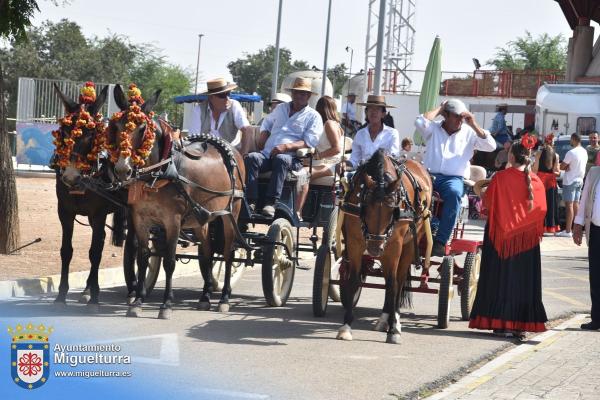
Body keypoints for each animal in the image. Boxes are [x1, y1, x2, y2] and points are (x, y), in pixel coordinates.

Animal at [51, 83, 134, 310]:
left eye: (92, 135)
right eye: (64, 131)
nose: (71, 176)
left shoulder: (98, 214)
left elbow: (95, 252)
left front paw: (95, 298)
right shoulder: (65, 212)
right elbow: (66, 250)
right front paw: (61, 295)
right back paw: (87, 290)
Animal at [108, 84, 246, 318]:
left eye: (142, 128)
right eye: (116, 126)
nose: (122, 169)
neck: (159, 172)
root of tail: (234, 152)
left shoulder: (172, 221)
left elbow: (170, 261)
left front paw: (166, 304)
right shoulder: (140, 219)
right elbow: (143, 258)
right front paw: (138, 301)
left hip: (231, 214)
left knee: (228, 253)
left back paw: (224, 298)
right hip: (202, 219)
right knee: (207, 253)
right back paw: (205, 297)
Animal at [338, 150, 432, 344]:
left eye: (393, 211)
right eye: (365, 207)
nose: (374, 249)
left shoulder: (394, 246)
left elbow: (392, 284)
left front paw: (394, 330)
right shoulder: (354, 242)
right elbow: (354, 280)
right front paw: (346, 326)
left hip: (408, 246)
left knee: (398, 280)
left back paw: (393, 319)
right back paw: (384, 320)